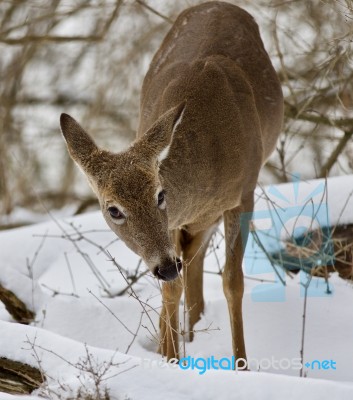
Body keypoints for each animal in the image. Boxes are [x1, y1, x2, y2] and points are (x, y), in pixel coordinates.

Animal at [59, 1, 282, 368]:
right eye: (113, 210)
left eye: (160, 194)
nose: (163, 266)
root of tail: (220, 5)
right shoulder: (179, 225)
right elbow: (172, 289)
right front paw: (171, 360)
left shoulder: (243, 193)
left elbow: (232, 283)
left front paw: (242, 365)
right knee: (188, 275)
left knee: (196, 272)